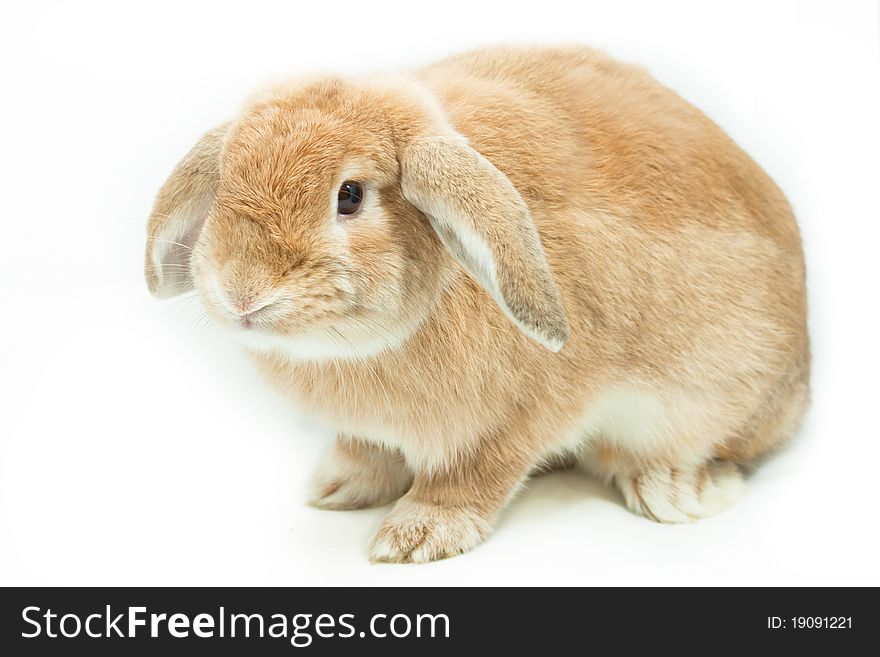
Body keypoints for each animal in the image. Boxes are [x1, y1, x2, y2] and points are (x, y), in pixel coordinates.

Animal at [144, 44, 812, 564]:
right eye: (225, 183)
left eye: (350, 195)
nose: (241, 292)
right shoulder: (372, 431)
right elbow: (366, 451)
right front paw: (339, 488)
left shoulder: (526, 413)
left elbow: (476, 472)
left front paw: (419, 534)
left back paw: (675, 490)